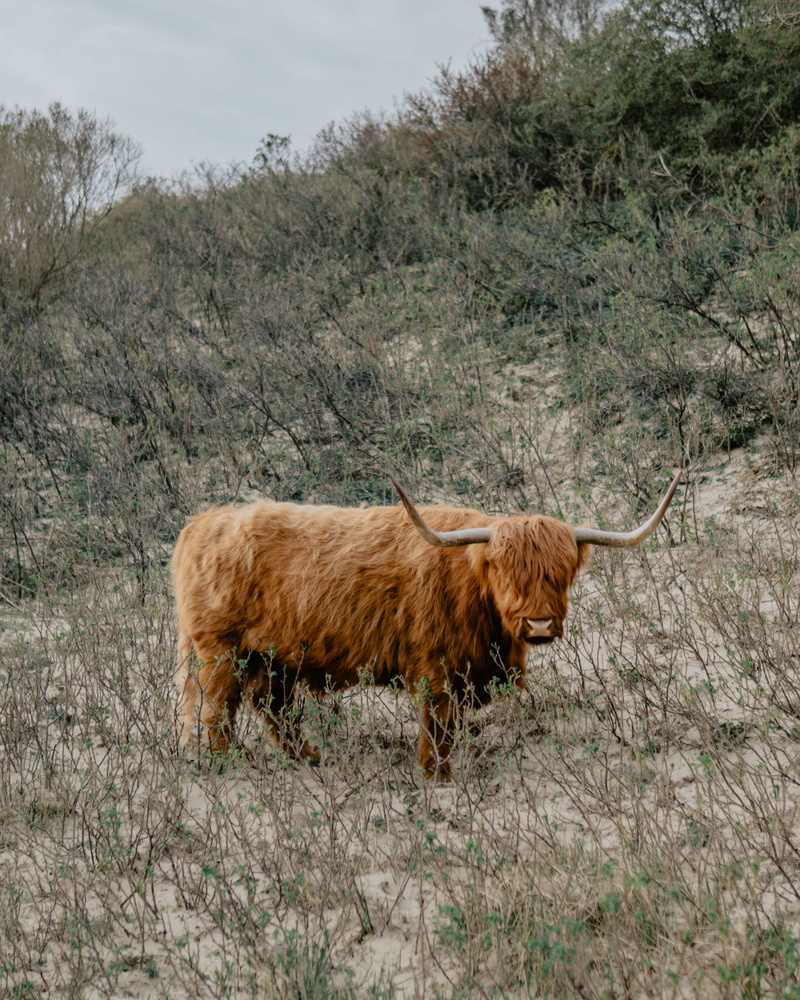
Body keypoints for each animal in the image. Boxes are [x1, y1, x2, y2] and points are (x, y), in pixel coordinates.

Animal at [173, 470, 682, 779]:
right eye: (504, 570)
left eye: (561, 572)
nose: (538, 625)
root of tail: (203, 523)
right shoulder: (435, 667)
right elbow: (438, 726)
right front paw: (437, 776)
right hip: (221, 652)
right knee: (215, 710)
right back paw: (228, 765)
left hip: (271, 656)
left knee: (271, 706)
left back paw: (311, 759)